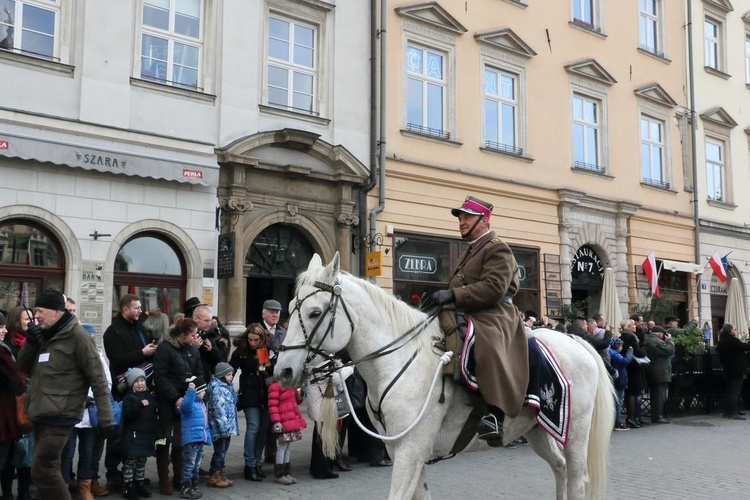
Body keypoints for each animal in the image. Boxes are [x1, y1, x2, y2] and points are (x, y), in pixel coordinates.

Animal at [276, 256, 616, 498]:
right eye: (291, 307)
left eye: (315, 312)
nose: (283, 371)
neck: (398, 360)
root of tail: (575, 340)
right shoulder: (402, 450)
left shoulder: (411, 450)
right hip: (537, 429)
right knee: (560, 469)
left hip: (576, 433)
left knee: (577, 479)